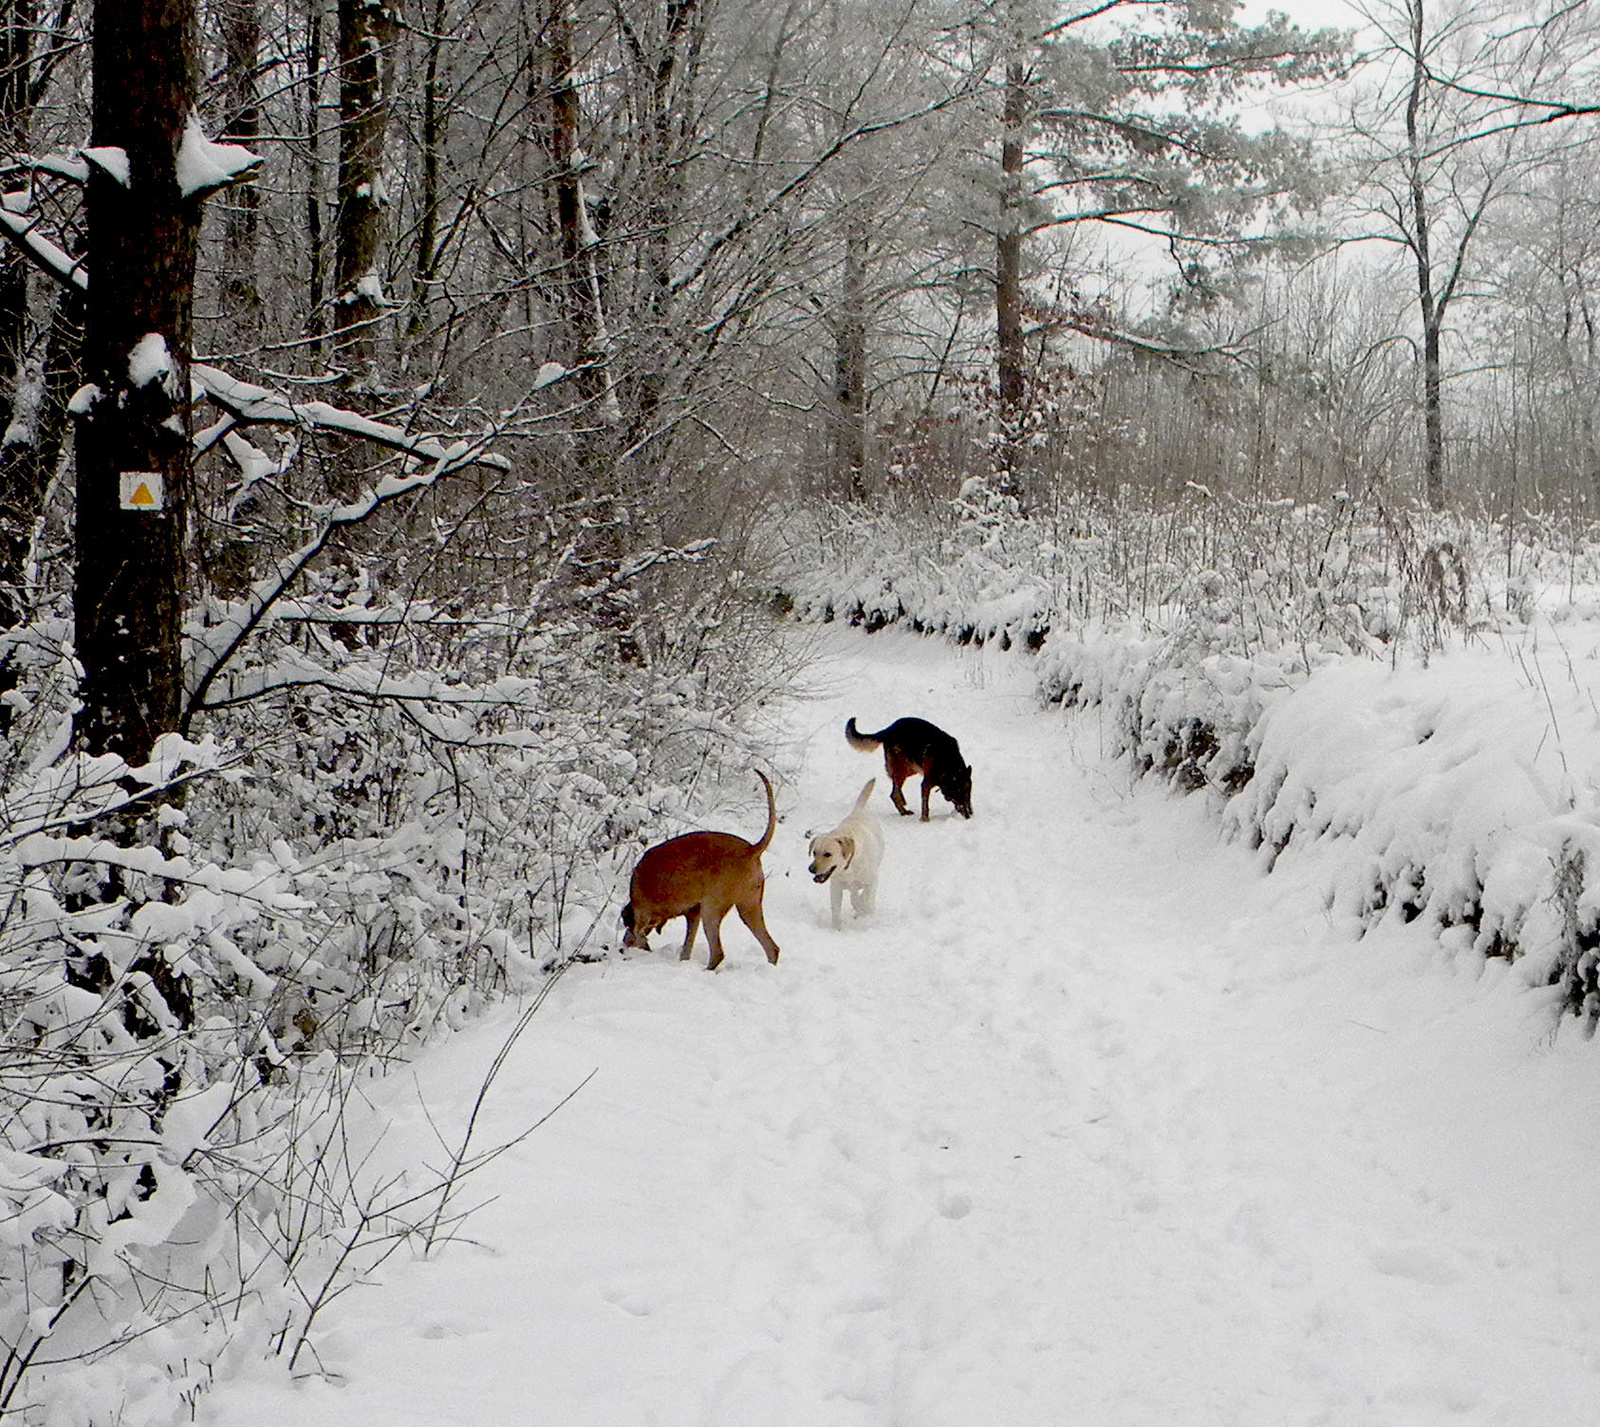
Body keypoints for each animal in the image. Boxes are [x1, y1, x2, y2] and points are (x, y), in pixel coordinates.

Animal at [617, 767, 780, 972]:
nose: (623, 946)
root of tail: (751, 850)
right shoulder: (693, 915)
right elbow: (686, 948)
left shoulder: (643, 917)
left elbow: (641, 938)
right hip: (748, 908)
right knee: (772, 948)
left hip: (712, 911)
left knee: (718, 953)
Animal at [806, 774, 883, 927]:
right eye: (814, 852)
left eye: (827, 854)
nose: (811, 869)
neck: (848, 868)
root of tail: (858, 811)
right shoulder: (835, 887)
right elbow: (836, 910)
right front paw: (836, 929)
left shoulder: (872, 880)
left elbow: (863, 899)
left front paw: (864, 910)